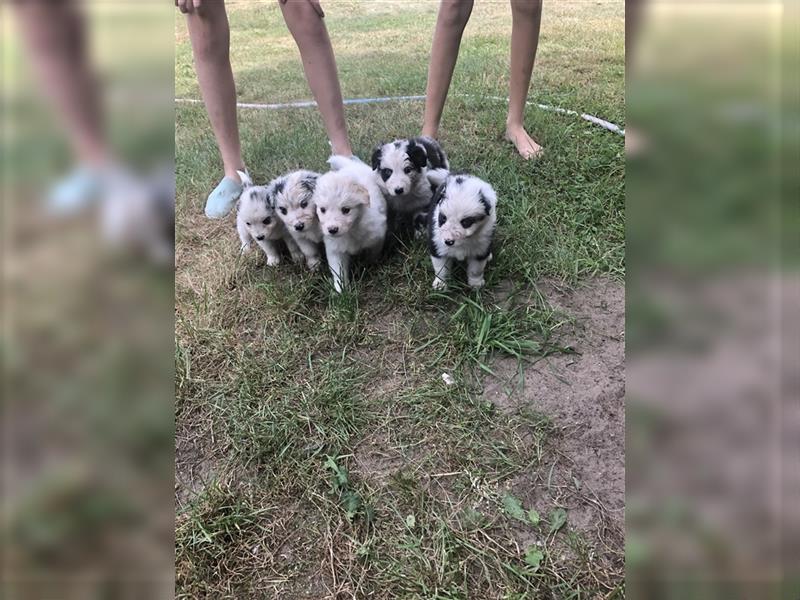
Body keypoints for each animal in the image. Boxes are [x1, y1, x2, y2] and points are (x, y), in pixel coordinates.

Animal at [312, 157, 388, 292]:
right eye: (322, 209)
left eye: (346, 210)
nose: (332, 230)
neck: (352, 230)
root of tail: (351, 165)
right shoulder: (335, 249)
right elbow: (338, 271)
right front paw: (341, 290)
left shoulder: (377, 236)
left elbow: (373, 254)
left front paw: (370, 263)